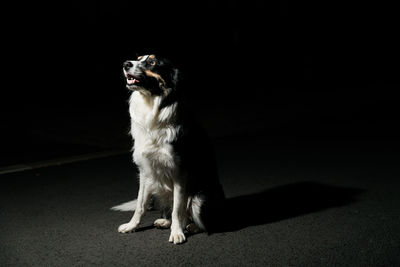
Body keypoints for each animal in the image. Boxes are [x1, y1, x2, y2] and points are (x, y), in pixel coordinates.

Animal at [112, 54, 225, 245]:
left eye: (152, 62)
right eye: (137, 58)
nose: (126, 64)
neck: (151, 104)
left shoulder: (180, 172)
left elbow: (178, 209)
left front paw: (177, 233)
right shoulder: (145, 171)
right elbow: (140, 205)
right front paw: (132, 226)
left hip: (200, 198)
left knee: (201, 221)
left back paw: (190, 226)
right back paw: (165, 222)